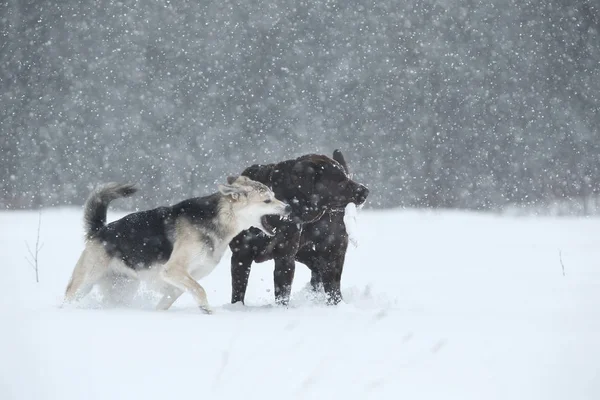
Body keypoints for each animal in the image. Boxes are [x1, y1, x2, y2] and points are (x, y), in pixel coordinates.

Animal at [64, 177, 290, 314]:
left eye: (274, 196)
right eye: (267, 201)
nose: (288, 207)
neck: (220, 218)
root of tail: (99, 231)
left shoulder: (180, 281)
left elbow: (169, 300)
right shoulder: (173, 270)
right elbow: (200, 290)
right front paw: (208, 311)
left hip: (122, 290)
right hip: (84, 283)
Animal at [230, 152, 368, 304]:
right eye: (340, 180)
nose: (366, 191)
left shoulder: (285, 257)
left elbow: (282, 292)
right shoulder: (241, 255)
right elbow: (238, 291)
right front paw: (237, 306)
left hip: (330, 252)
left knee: (332, 286)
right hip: (308, 254)